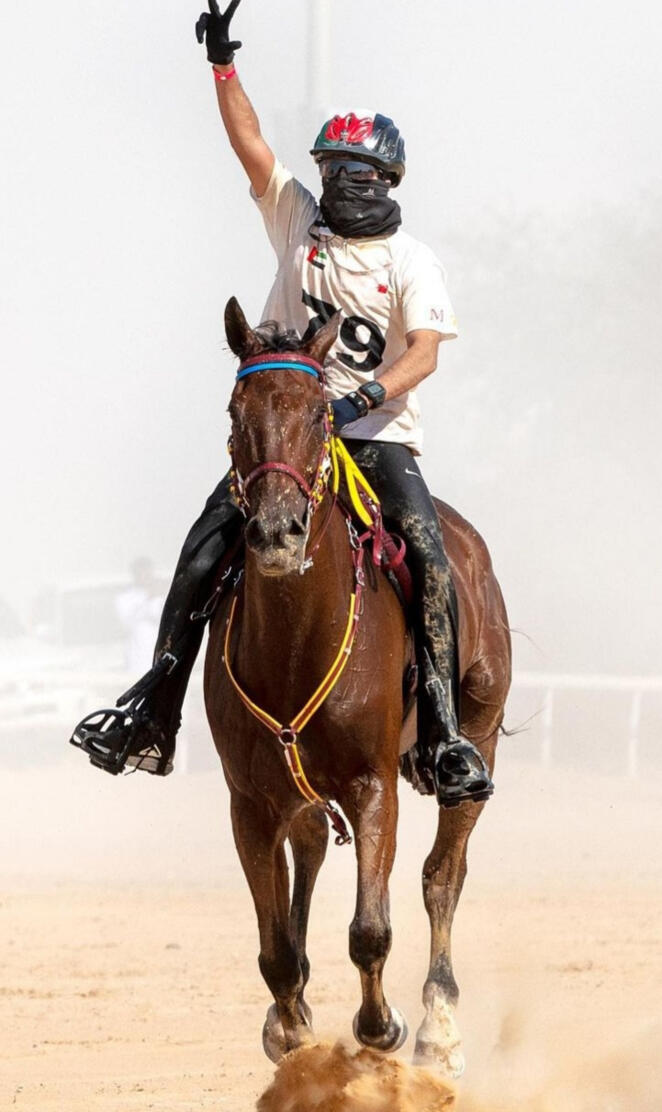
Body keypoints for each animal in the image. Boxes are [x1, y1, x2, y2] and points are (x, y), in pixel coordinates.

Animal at [203, 297, 512, 1076]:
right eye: (234, 411)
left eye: (321, 414)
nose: (276, 532)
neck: (294, 643)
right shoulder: (250, 801)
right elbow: (276, 951)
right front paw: (292, 1031)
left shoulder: (373, 785)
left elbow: (371, 928)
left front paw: (381, 1030)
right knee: (311, 846)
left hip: (480, 732)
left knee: (442, 875)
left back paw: (439, 1028)